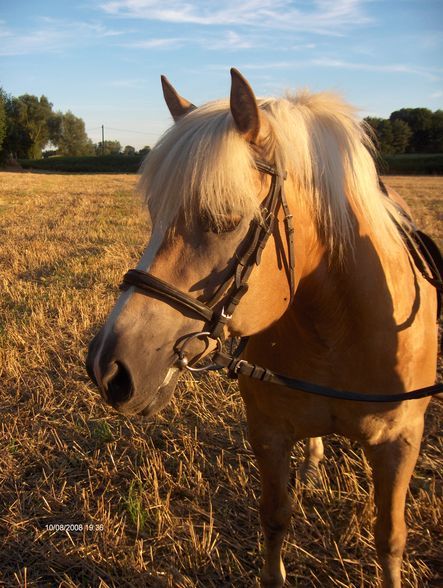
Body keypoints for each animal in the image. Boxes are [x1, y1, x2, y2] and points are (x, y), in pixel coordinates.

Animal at [85, 70, 438, 588]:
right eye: (154, 216)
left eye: (225, 218)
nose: (107, 368)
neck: (338, 331)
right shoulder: (268, 432)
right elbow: (275, 516)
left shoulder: (400, 444)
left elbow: (389, 538)